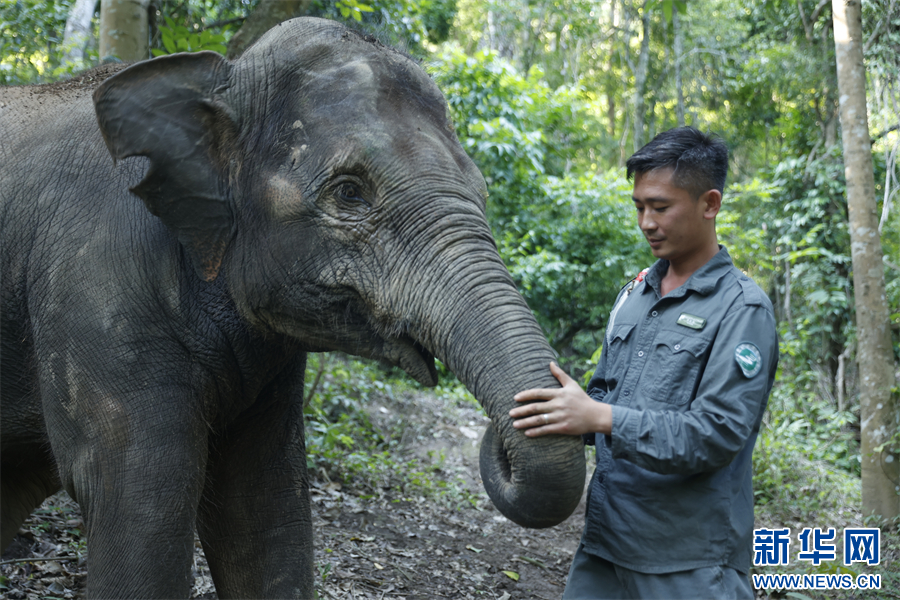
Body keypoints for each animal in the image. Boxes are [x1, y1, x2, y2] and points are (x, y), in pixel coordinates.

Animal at [0, 17, 585, 598]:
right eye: (350, 193)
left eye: (480, 190)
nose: (529, 406)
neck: (222, 77)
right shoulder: (95, 287)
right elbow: (141, 506)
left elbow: (262, 508)